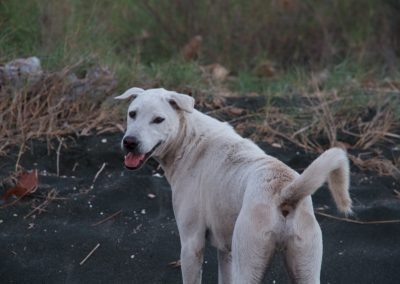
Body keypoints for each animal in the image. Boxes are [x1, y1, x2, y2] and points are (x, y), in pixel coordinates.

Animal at [115, 87, 350, 282]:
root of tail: (284, 192)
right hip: (305, 268)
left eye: (158, 120)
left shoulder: (191, 245)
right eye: (132, 114)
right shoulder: (226, 251)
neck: (189, 139)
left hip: (247, 264)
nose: (130, 142)